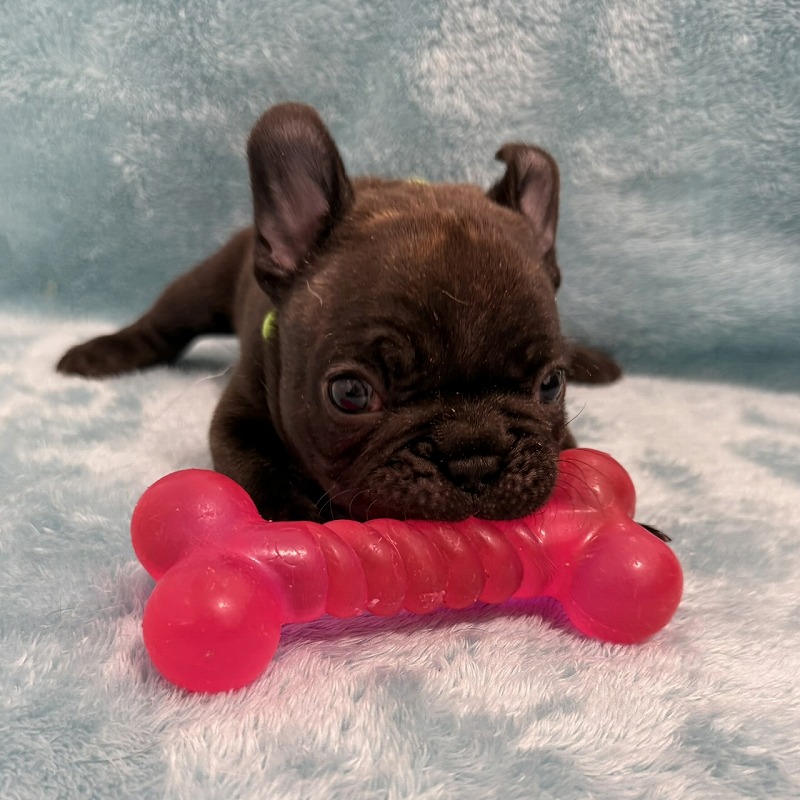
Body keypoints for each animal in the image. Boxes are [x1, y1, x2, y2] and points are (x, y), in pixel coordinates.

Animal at [57, 102, 620, 523]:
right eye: (350, 394)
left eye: (551, 385)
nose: (474, 455)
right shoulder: (240, 415)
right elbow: (258, 472)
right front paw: (300, 521)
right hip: (201, 287)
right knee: (164, 323)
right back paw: (101, 353)